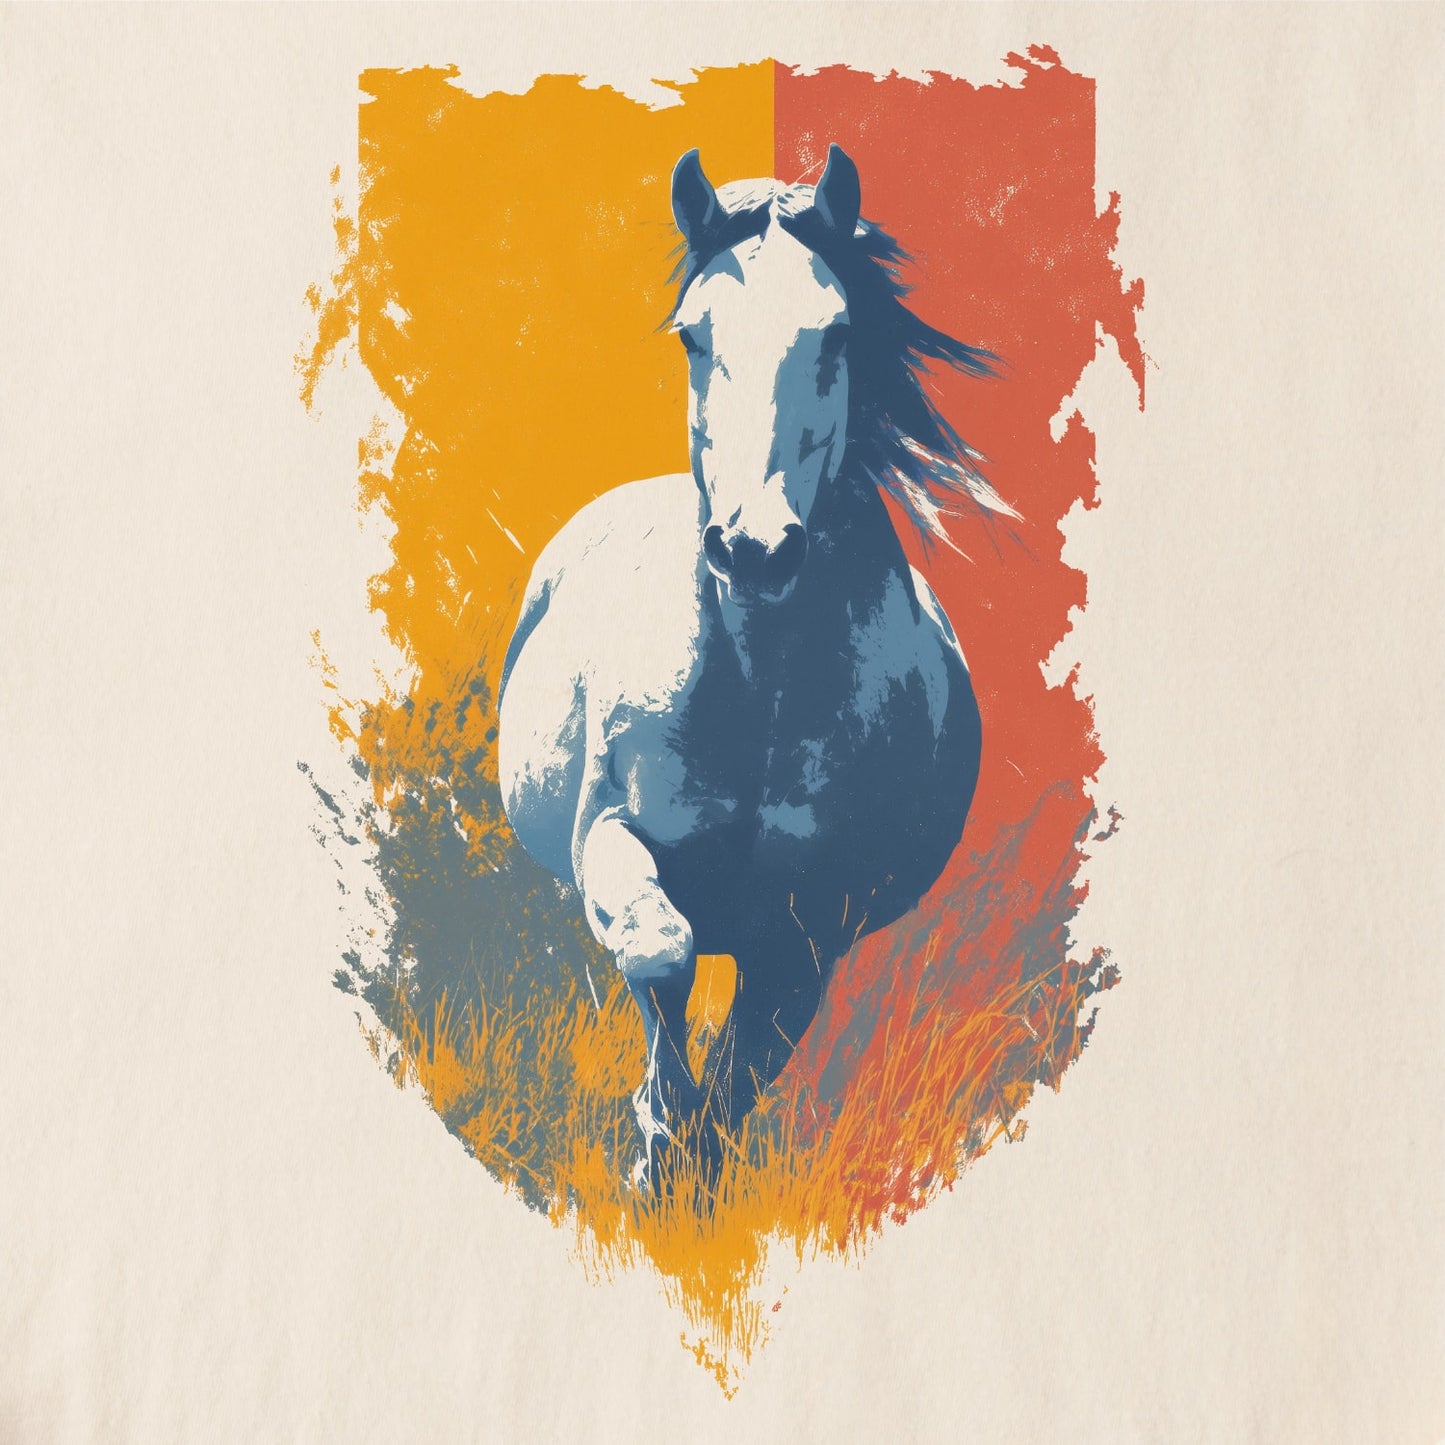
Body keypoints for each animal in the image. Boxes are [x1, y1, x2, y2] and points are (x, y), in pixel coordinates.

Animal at [497, 144, 1011, 1189]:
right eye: (694, 337)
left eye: (837, 334)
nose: (754, 548)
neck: (755, 693)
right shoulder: (610, 839)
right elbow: (659, 953)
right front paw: (656, 1136)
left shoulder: (808, 930)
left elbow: (747, 1064)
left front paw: (682, 1156)